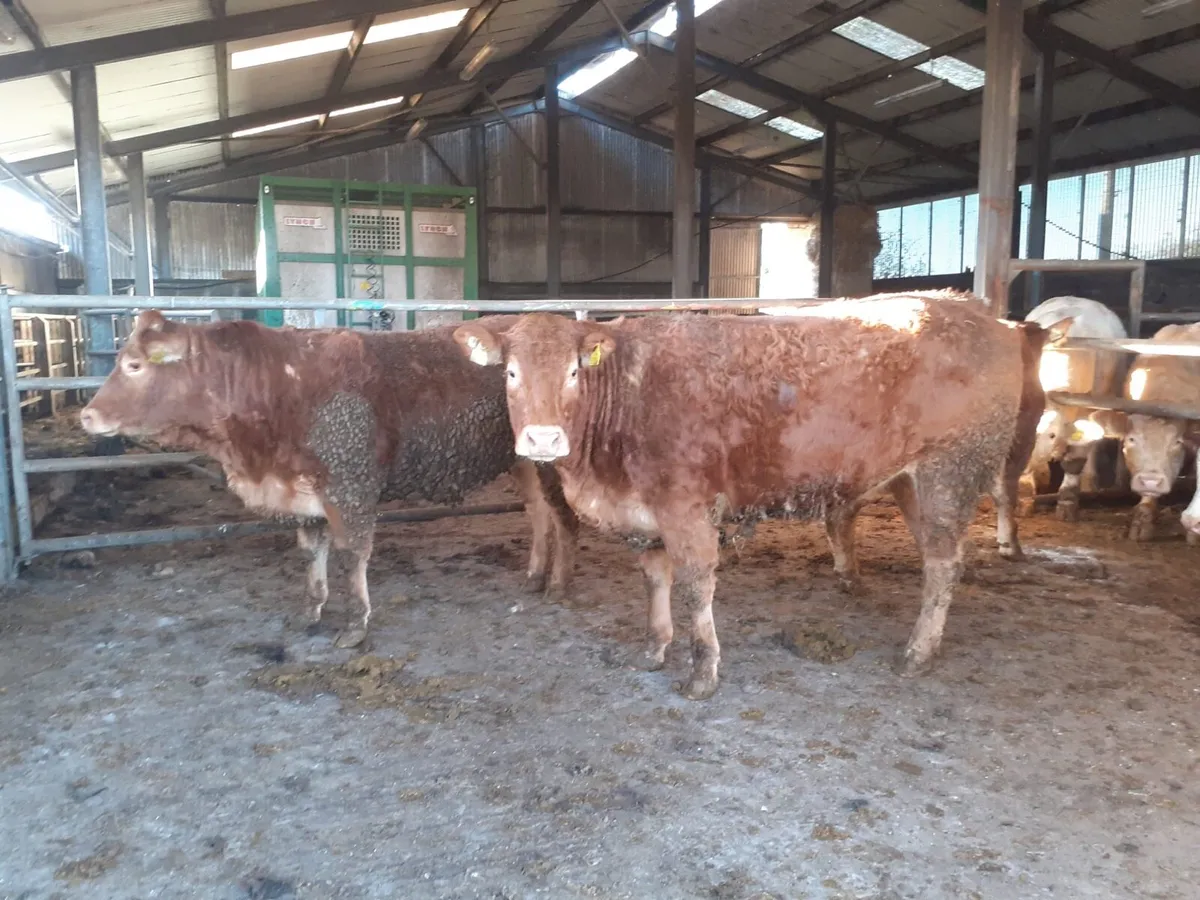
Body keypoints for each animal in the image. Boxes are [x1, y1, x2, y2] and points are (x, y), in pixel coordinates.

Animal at [80, 311, 578, 647]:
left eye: (135, 365)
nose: (87, 415)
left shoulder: (350, 487)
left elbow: (352, 557)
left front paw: (357, 624)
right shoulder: (303, 493)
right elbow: (311, 554)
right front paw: (312, 610)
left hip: (550, 461)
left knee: (562, 518)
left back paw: (558, 584)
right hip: (523, 461)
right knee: (539, 514)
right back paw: (535, 575)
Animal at [454, 295, 1052, 699]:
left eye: (575, 371)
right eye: (510, 373)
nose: (543, 440)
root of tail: (981, 314)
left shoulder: (686, 509)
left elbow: (695, 588)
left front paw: (702, 672)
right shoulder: (645, 512)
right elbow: (655, 581)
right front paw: (654, 648)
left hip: (951, 470)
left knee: (945, 565)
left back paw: (917, 653)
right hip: (911, 480)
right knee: (936, 560)